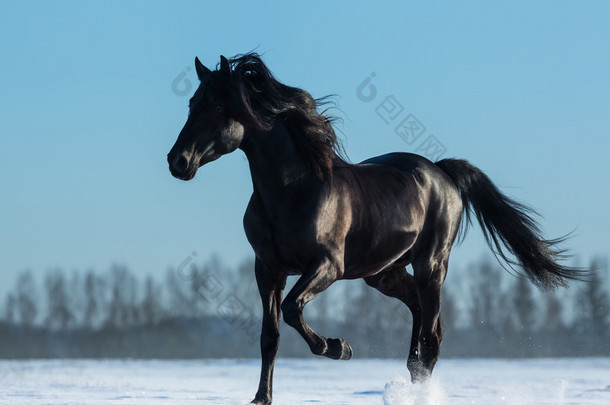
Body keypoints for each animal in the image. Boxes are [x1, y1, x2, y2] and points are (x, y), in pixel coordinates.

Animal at [165, 53, 580, 404]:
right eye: (191, 104)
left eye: (218, 106)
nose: (177, 161)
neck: (291, 191)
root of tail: (441, 171)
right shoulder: (267, 269)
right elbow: (271, 335)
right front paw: (260, 399)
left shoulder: (327, 266)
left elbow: (292, 308)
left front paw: (339, 348)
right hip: (384, 273)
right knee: (418, 318)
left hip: (431, 265)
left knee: (432, 336)